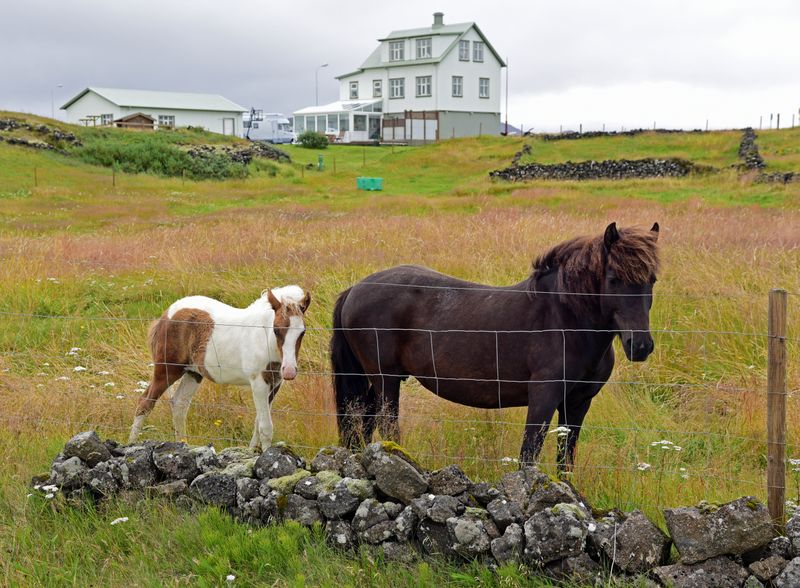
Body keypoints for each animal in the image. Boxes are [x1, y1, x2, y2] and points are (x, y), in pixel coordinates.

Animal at [127, 288, 310, 448]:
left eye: (302, 332)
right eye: (277, 330)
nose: (289, 371)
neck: (265, 339)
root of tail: (165, 315)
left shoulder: (275, 384)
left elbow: (258, 423)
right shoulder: (259, 382)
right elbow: (265, 428)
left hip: (193, 373)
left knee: (179, 403)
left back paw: (183, 444)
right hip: (167, 369)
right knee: (145, 403)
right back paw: (131, 444)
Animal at [328, 223, 660, 470]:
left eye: (652, 280)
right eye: (614, 278)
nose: (640, 346)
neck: (566, 319)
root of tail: (354, 289)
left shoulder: (578, 403)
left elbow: (565, 460)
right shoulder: (544, 397)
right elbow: (529, 455)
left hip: (378, 382)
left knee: (363, 425)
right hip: (385, 380)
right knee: (387, 426)